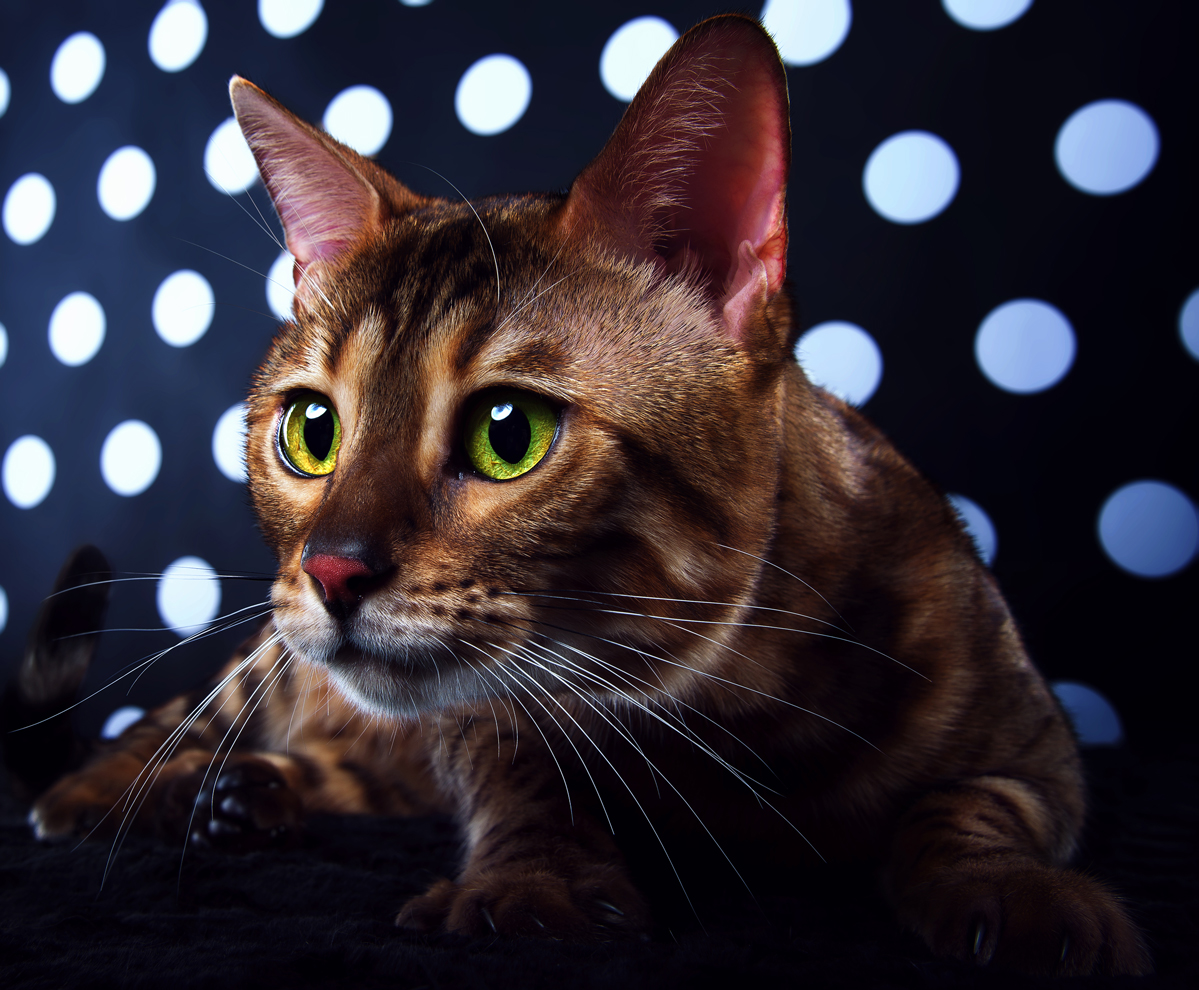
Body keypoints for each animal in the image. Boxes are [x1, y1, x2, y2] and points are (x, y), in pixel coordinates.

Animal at [16, 13, 1141, 973]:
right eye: (311, 432)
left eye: (507, 433)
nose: (331, 569)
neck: (725, 733)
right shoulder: (484, 716)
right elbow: (519, 777)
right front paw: (538, 879)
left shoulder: (1042, 744)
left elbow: (974, 806)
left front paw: (1012, 890)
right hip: (267, 662)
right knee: (179, 719)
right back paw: (118, 794)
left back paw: (253, 794)